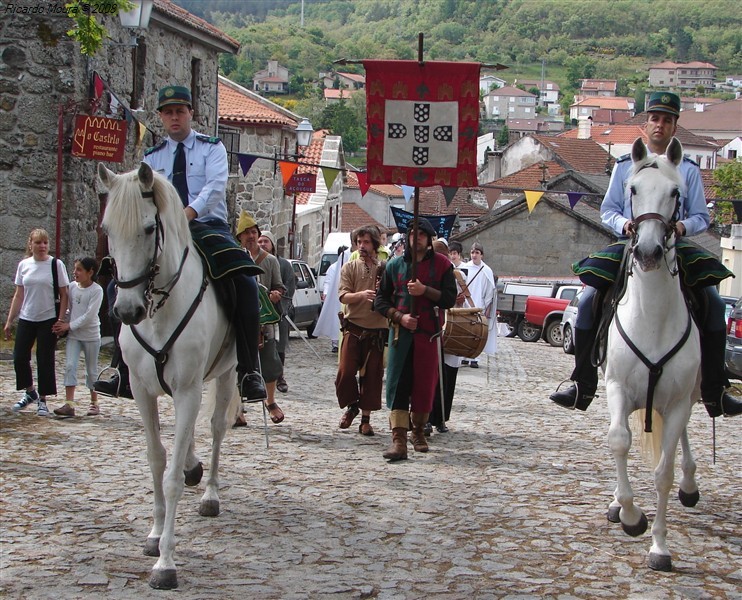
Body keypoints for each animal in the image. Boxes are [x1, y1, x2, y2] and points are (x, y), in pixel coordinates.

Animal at [98, 162, 238, 588]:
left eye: (148, 228)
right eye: (107, 229)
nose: (127, 311)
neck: (160, 309)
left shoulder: (188, 389)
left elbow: (172, 475)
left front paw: (165, 562)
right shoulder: (143, 391)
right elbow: (157, 460)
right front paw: (154, 535)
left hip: (226, 375)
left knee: (215, 428)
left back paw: (209, 493)